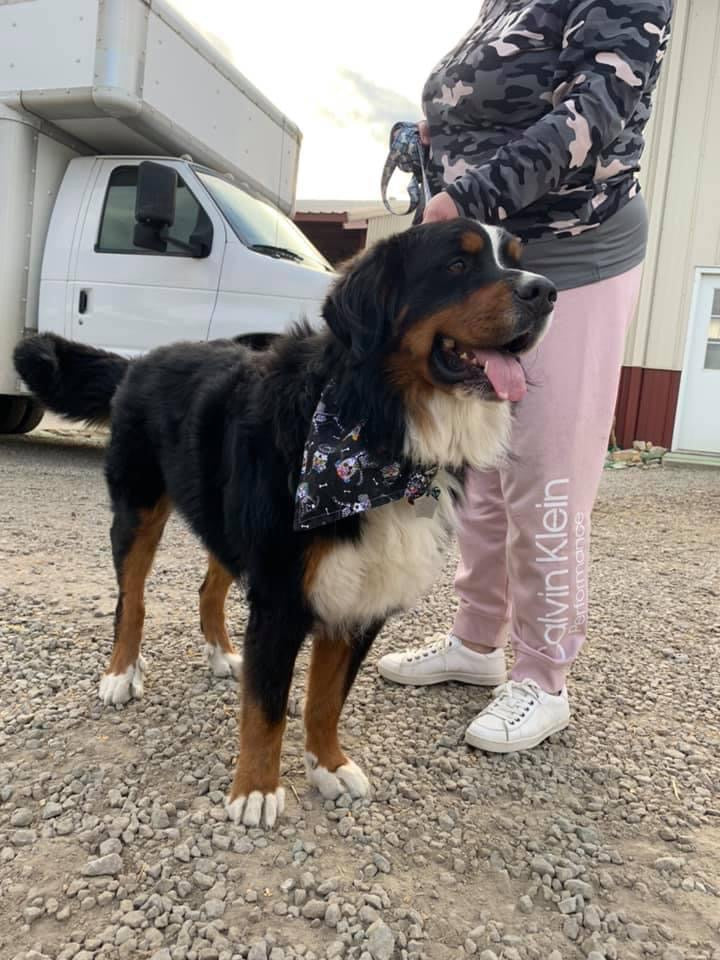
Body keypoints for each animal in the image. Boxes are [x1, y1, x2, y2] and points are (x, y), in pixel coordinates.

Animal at [15, 218, 556, 824]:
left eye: (517, 259)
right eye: (457, 265)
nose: (545, 292)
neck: (376, 430)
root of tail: (139, 361)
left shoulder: (360, 597)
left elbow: (326, 698)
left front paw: (328, 765)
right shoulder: (282, 592)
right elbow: (268, 703)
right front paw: (255, 790)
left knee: (209, 588)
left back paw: (221, 654)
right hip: (139, 509)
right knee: (131, 601)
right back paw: (120, 674)